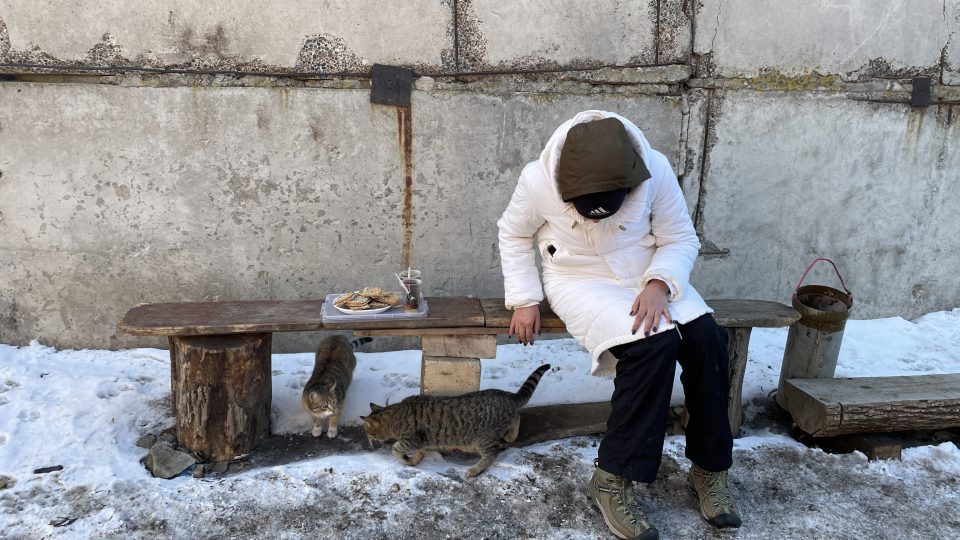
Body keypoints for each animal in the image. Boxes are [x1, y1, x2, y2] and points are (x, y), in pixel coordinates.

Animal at [362, 362, 556, 476]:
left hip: (483, 440)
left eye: (367, 432)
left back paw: (474, 470)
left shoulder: (411, 439)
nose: (369, 440)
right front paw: (415, 460)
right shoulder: (422, 442)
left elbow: (395, 448)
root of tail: (507, 395)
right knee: (517, 416)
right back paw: (511, 435)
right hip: (505, 421)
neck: (396, 414)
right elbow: (420, 452)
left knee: (491, 454)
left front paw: (404, 458)